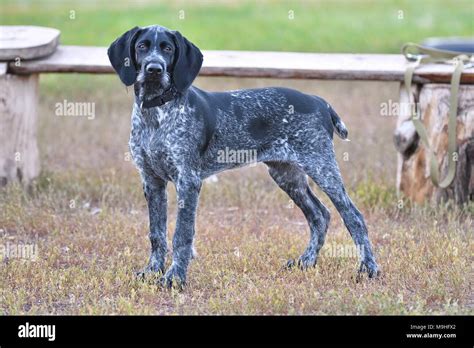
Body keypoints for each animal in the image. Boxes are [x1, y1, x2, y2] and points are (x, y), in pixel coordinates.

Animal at [108, 25, 382, 288]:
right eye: (142, 46)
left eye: (167, 49)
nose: (154, 69)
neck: (156, 112)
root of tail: (319, 101)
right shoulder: (151, 181)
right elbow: (156, 233)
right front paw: (152, 271)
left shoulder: (188, 180)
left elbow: (181, 235)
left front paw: (175, 278)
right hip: (287, 174)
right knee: (319, 215)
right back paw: (306, 261)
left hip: (321, 166)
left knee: (353, 217)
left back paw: (368, 269)